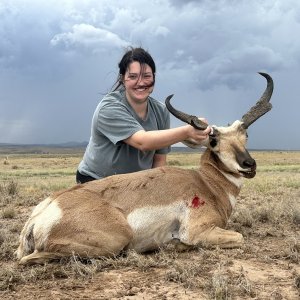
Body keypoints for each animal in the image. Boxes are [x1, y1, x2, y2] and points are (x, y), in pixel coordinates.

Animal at [17, 72, 274, 264]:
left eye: (245, 135)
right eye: (213, 142)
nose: (249, 164)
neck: (206, 184)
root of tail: (45, 212)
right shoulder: (198, 230)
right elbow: (239, 237)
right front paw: (175, 245)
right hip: (116, 239)